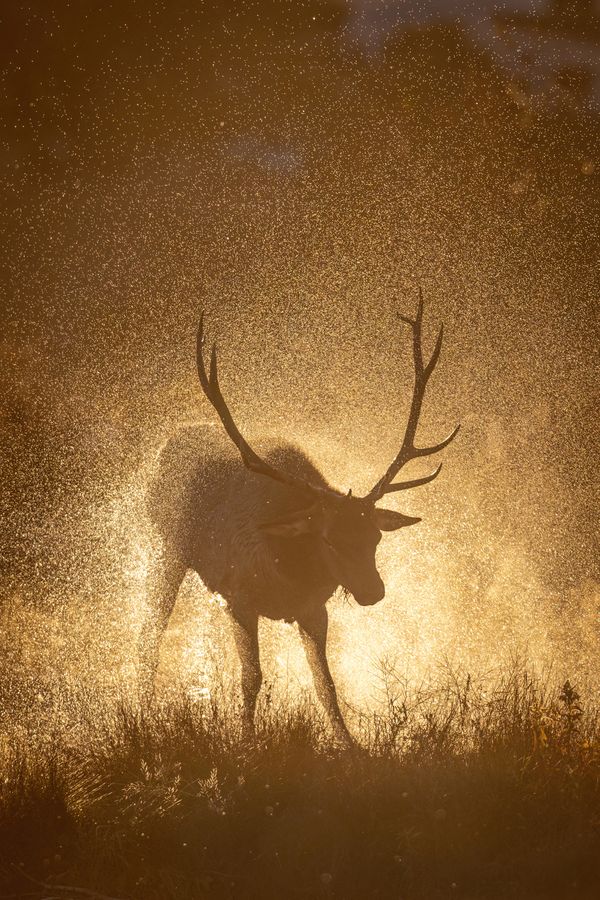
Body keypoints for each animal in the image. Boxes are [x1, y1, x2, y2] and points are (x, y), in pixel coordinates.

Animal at [141, 292, 460, 740]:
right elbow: (251, 678)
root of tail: (165, 445)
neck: (289, 574)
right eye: (328, 539)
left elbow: (326, 684)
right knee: (148, 637)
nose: (373, 591)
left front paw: (351, 745)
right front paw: (246, 741)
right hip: (165, 549)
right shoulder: (240, 596)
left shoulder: (313, 608)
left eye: (375, 537)